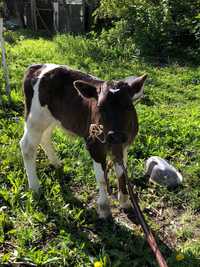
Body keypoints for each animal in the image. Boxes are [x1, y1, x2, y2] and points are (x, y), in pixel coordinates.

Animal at [19, 63, 147, 219]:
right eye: (100, 107)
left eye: (129, 106)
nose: (115, 136)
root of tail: (38, 66)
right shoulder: (94, 145)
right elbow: (101, 178)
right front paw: (104, 208)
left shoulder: (124, 145)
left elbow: (122, 173)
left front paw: (124, 201)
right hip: (35, 118)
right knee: (27, 147)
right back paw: (35, 188)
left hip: (52, 118)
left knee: (45, 137)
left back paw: (56, 163)